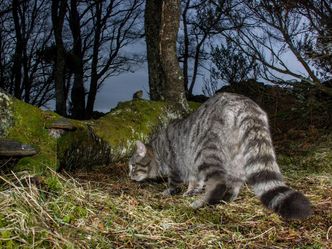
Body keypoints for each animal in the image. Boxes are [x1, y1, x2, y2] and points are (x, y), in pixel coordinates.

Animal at [129, 92, 312, 219]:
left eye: (132, 165)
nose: (129, 176)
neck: (157, 150)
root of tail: (243, 104)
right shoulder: (190, 165)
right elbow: (195, 180)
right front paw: (192, 189)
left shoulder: (175, 160)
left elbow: (175, 181)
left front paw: (170, 191)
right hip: (236, 155)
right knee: (235, 179)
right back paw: (228, 196)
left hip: (206, 149)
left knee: (218, 181)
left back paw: (206, 201)